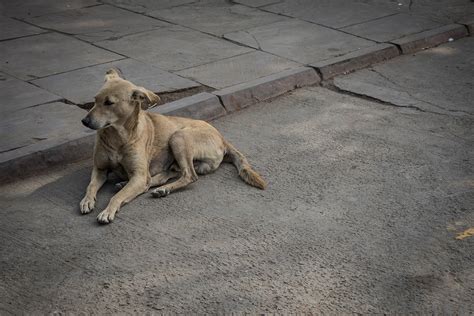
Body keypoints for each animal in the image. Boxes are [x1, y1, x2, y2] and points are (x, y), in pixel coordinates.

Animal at [80, 68, 266, 223]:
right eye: (95, 100)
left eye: (109, 102)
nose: (84, 121)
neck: (117, 137)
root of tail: (222, 138)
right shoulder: (100, 169)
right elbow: (91, 186)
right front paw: (87, 200)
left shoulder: (139, 175)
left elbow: (117, 197)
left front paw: (108, 210)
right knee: (165, 176)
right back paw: (148, 186)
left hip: (178, 137)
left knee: (188, 176)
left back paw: (159, 188)